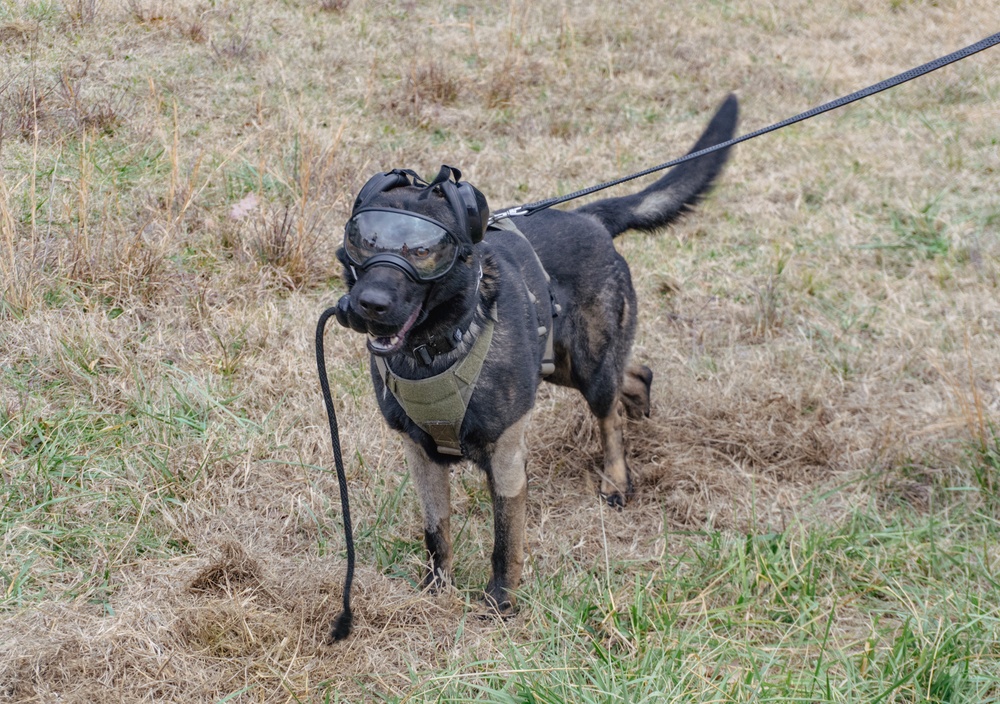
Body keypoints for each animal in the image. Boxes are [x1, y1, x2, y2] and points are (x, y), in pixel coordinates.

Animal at [334, 95, 736, 616]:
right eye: (363, 240)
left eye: (424, 250)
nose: (368, 304)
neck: (438, 347)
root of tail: (590, 218)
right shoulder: (420, 455)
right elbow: (436, 532)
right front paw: (435, 593)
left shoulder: (506, 457)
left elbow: (506, 542)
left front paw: (499, 606)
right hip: (563, 366)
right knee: (637, 372)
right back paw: (641, 405)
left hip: (587, 367)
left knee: (609, 415)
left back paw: (616, 480)